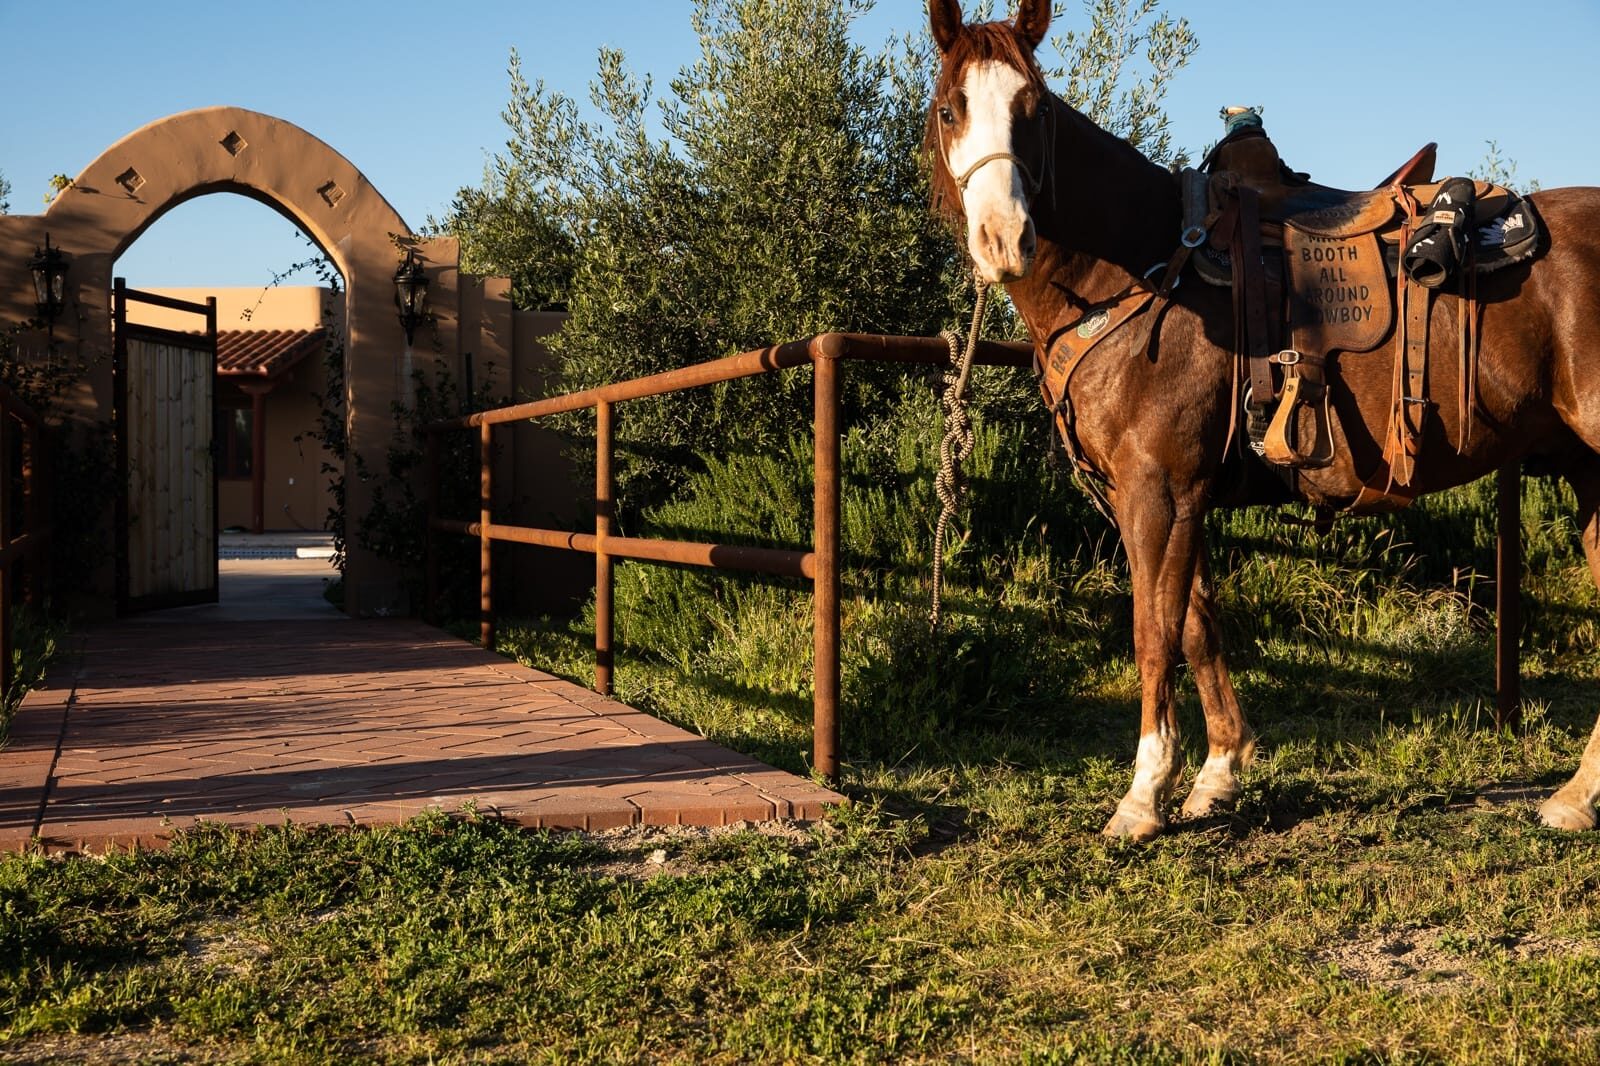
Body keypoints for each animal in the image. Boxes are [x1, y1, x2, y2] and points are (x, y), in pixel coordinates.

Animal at [925, 0, 1600, 840]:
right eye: (949, 108)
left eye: (1035, 109)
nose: (1004, 240)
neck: (1141, 269)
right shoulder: (1170, 495)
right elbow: (1197, 624)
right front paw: (1218, 774)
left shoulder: (1159, 491)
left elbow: (1154, 631)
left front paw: (1143, 796)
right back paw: (1576, 796)